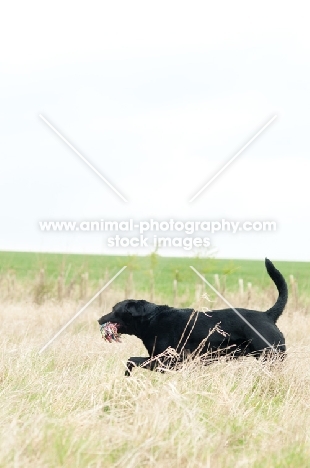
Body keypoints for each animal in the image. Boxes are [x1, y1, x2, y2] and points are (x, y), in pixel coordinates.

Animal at [98, 258, 286, 374]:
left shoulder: (167, 361)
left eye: (115, 310)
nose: (99, 319)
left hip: (271, 357)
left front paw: (127, 375)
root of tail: (267, 315)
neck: (151, 320)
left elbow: (131, 360)